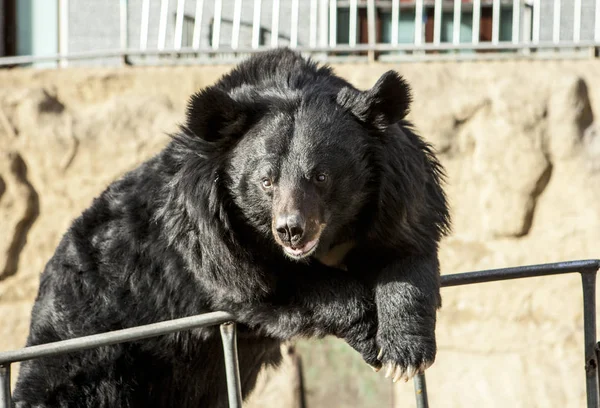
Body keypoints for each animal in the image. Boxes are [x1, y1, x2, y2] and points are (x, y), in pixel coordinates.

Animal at [14, 49, 450, 406]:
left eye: (322, 176)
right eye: (266, 181)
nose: (291, 230)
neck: (330, 239)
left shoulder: (400, 189)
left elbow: (405, 255)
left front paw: (403, 356)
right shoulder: (210, 237)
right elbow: (267, 286)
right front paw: (369, 333)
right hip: (89, 346)